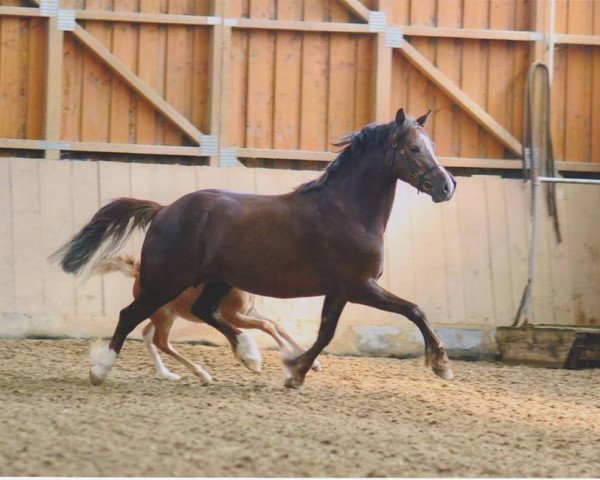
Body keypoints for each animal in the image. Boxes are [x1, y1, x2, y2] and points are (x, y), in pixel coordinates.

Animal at [95, 255, 318, 382]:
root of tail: (138, 272)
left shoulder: (249, 312)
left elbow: (278, 326)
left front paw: (312, 363)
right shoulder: (234, 317)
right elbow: (267, 326)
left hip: (162, 315)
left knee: (147, 335)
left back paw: (168, 374)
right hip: (162, 316)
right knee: (161, 341)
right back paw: (202, 375)